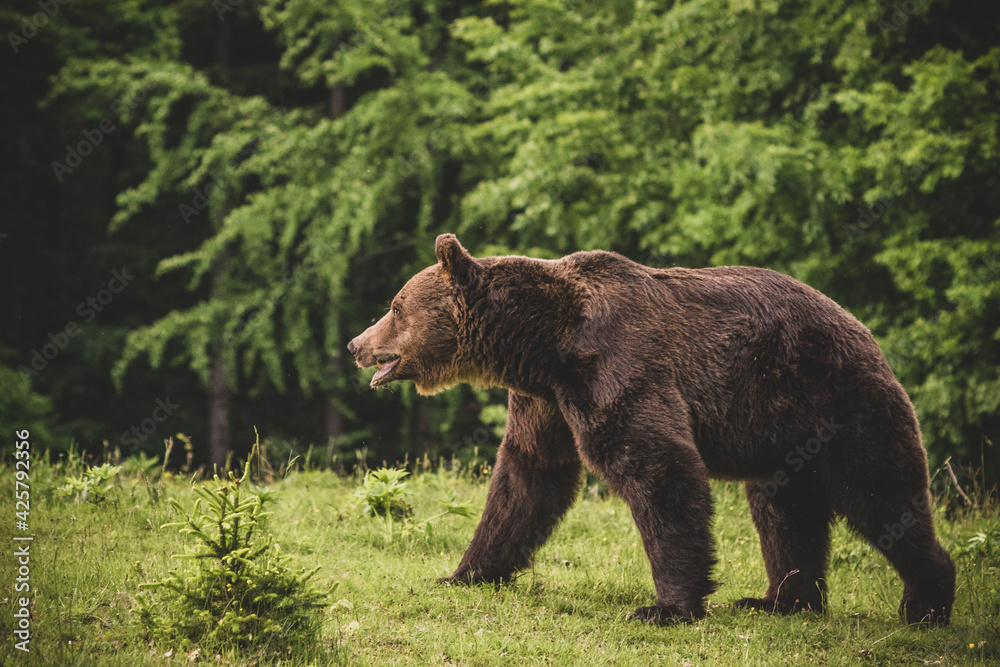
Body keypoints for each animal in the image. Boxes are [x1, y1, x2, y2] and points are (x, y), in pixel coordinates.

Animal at [348, 235, 956, 628]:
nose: (356, 344)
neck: (544, 342)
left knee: (878, 493)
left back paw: (926, 603)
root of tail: (862, 328)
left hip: (842, 402)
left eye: (395, 306)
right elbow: (527, 478)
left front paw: (665, 607)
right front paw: (465, 573)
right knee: (785, 511)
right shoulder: (546, 400)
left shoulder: (617, 363)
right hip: (781, 430)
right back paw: (782, 601)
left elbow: (656, 465)